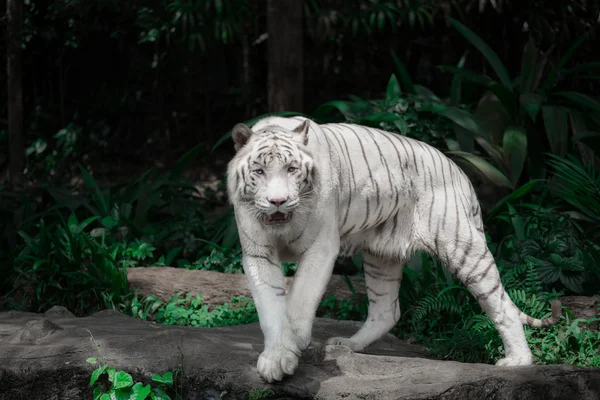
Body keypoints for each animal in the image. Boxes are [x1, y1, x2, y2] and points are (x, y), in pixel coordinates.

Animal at [226, 115, 564, 382]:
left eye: (292, 169)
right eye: (259, 172)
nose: (278, 201)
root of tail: (460, 171)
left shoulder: (321, 247)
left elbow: (299, 300)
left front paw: (295, 343)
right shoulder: (258, 253)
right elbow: (270, 309)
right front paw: (276, 359)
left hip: (463, 246)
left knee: (501, 303)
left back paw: (518, 361)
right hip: (381, 256)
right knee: (387, 311)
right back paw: (347, 345)